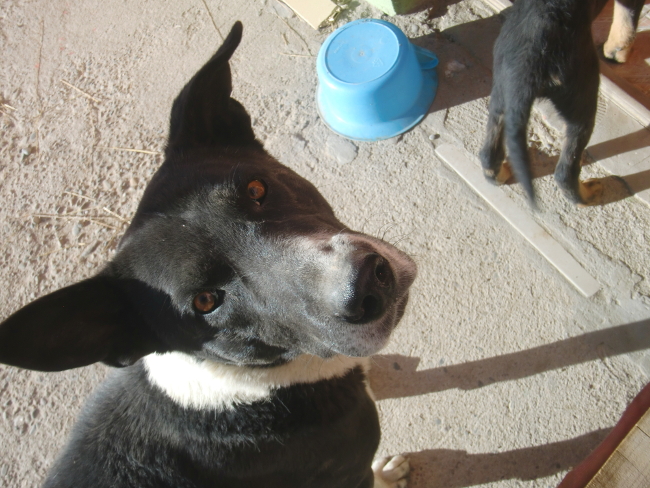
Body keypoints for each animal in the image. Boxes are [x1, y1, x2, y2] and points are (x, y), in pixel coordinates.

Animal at [0, 22, 416, 488]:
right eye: (205, 301)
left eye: (257, 189)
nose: (365, 288)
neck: (248, 383)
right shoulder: (348, 473)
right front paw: (389, 472)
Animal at [480, 0, 645, 206]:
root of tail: (531, 59)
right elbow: (626, 22)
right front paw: (615, 53)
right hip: (582, 100)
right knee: (565, 172)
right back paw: (588, 195)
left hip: (502, 94)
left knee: (488, 154)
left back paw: (500, 173)